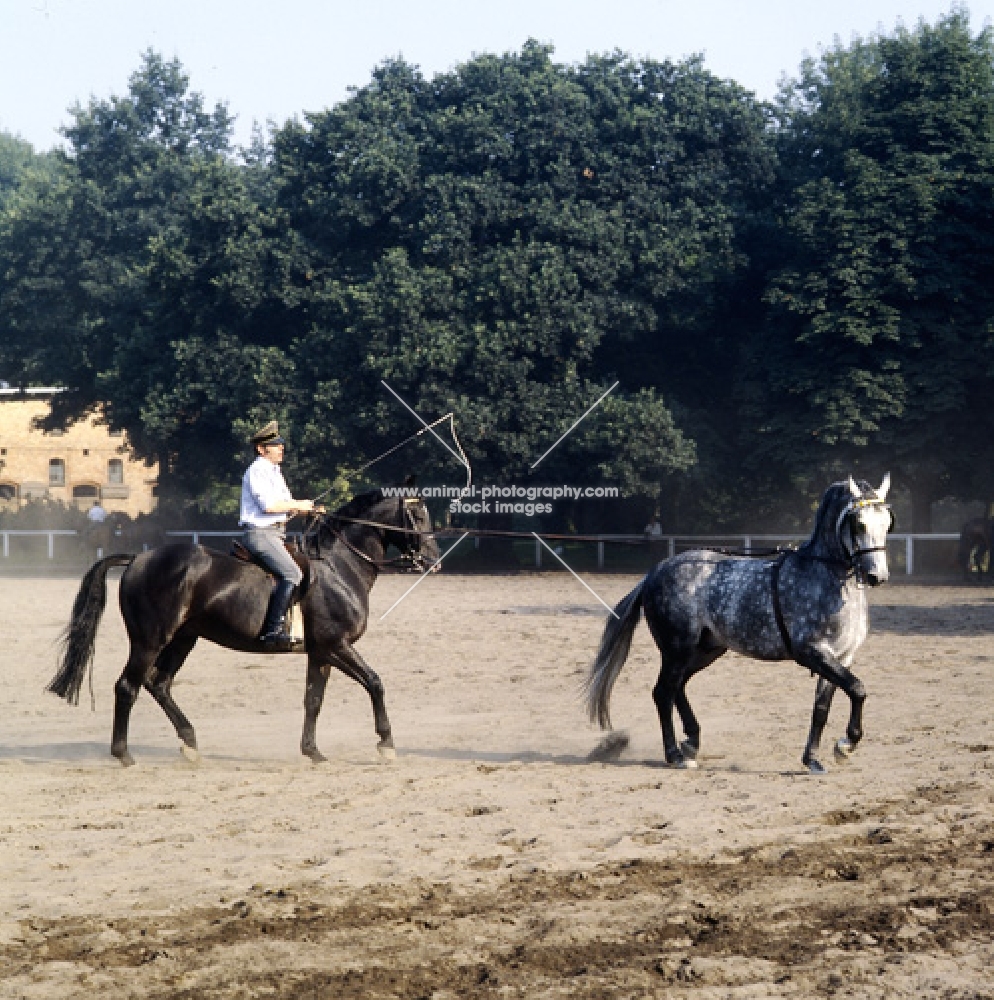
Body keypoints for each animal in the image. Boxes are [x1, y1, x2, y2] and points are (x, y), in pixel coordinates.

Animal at [49, 490, 438, 764]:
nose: (433, 560)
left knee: (158, 684)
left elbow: (313, 700)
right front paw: (386, 744)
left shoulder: (320, 652)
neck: (339, 566)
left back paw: (190, 743)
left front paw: (312, 751)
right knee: (127, 686)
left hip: (183, 639)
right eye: (417, 515)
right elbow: (374, 682)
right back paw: (124, 755)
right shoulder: (336, 645)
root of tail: (138, 558)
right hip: (149, 640)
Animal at [584, 476, 896, 772]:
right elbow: (857, 688)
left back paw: (691, 742)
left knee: (678, 687)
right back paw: (676, 755)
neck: (822, 575)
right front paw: (847, 744)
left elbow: (822, 707)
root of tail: (655, 572)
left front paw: (815, 759)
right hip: (677, 649)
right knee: (663, 693)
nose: (876, 576)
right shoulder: (812, 652)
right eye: (859, 523)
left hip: (706, 650)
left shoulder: (841, 656)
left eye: (887, 523)